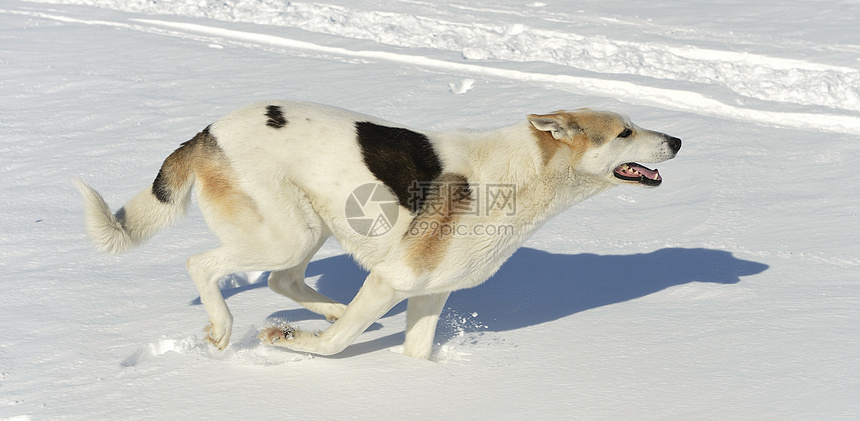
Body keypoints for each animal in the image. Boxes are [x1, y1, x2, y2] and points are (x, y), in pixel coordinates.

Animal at [75, 101, 680, 358]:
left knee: (280, 281)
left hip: (310, 227)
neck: (525, 172)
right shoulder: (393, 280)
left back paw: (331, 309)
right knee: (202, 264)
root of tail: (206, 131)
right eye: (625, 132)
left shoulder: (428, 293)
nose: (676, 140)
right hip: (285, 235)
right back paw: (225, 330)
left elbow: (414, 354)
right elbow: (334, 348)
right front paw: (294, 343)